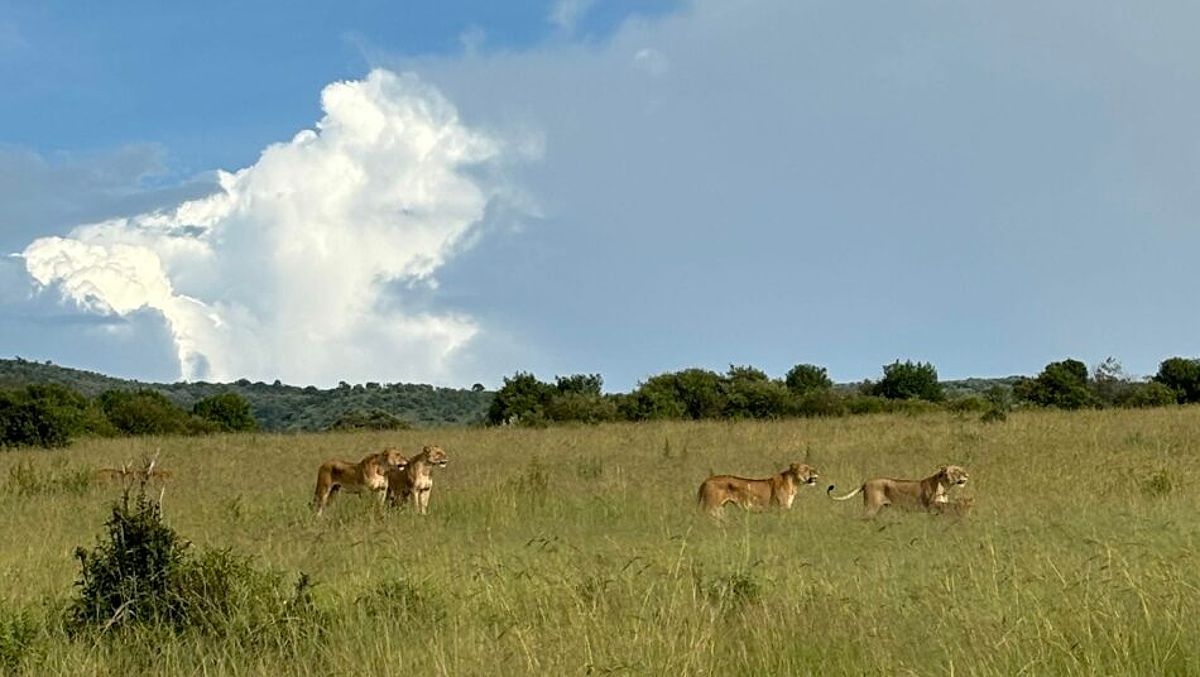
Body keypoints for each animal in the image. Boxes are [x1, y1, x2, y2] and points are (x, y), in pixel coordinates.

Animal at [830, 465, 969, 518]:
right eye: (957, 471)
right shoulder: (930, 506)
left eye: (962, 469)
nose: (967, 475)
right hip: (871, 508)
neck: (945, 486)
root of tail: (866, 482)